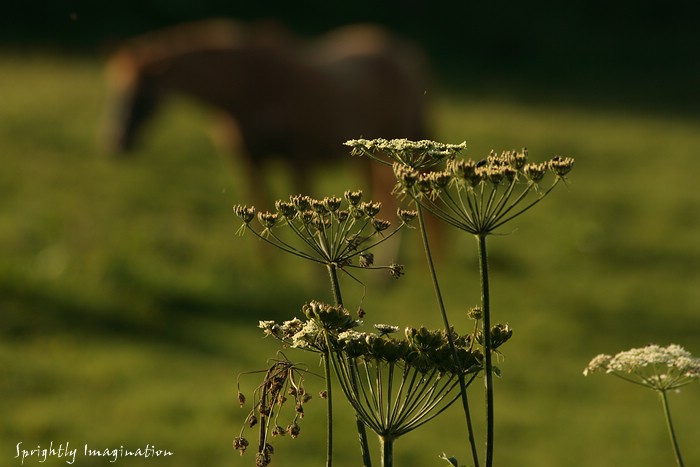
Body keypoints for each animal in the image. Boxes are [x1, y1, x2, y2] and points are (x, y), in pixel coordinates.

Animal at [104, 20, 432, 207]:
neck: (249, 87)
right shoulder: (248, 162)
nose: (114, 142)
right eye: (114, 87)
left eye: (142, 94)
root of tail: (405, 53)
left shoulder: (299, 159)